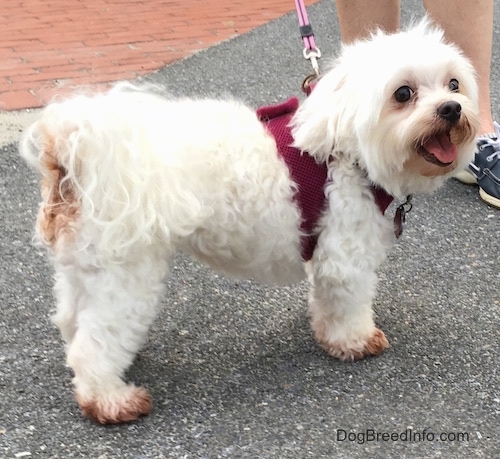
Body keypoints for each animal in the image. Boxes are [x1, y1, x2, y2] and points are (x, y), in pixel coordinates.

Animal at [20, 19, 480, 426]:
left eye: (454, 85)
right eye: (403, 93)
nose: (451, 109)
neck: (345, 148)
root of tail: (74, 157)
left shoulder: (324, 251)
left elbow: (325, 299)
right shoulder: (345, 255)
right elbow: (350, 303)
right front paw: (355, 340)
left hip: (86, 268)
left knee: (72, 320)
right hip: (125, 273)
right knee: (94, 343)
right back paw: (110, 399)